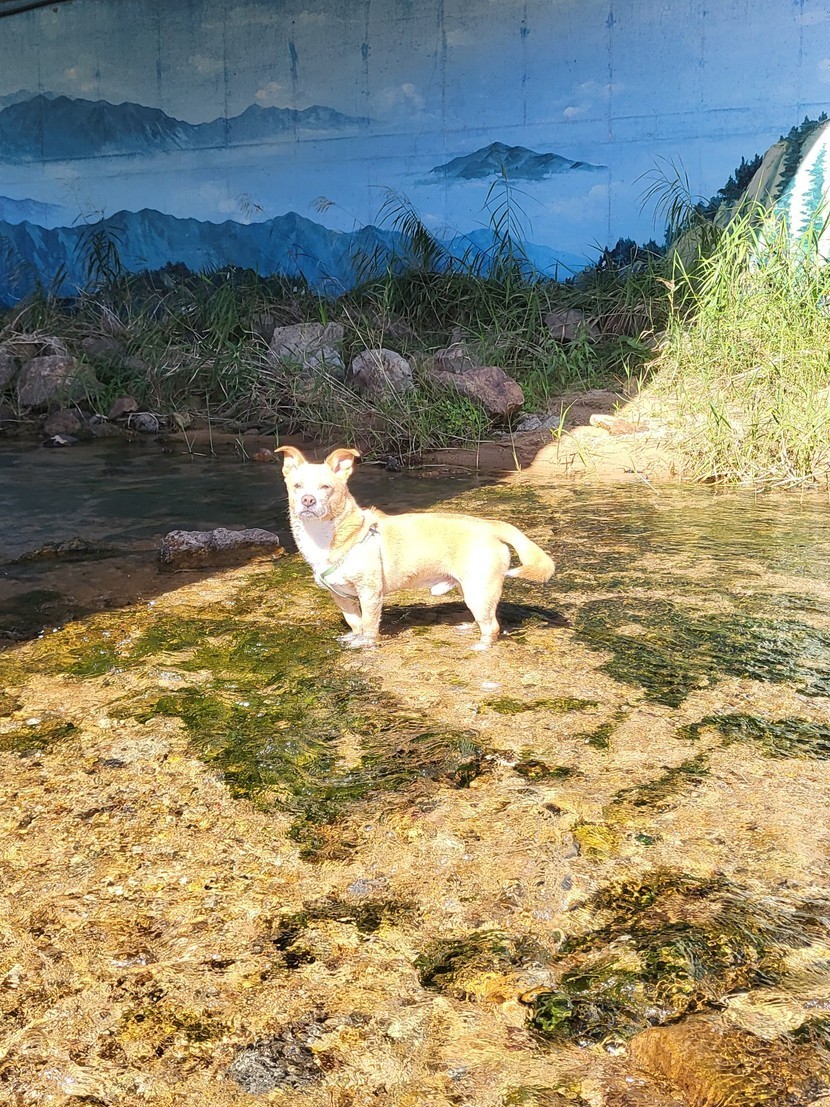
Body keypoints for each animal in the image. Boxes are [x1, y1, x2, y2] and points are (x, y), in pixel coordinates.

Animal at [276, 445, 555, 649]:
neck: (326, 537)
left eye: (326, 487)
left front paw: (367, 646)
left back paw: (481, 646)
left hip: (479, 590)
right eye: (297, 486)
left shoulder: (370, 594)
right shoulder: (341, 596)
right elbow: (355, 624)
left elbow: (369, 627)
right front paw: (353, 640)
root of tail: (491, 525)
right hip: (471, 589)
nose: (307, 500)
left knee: (492, 627)